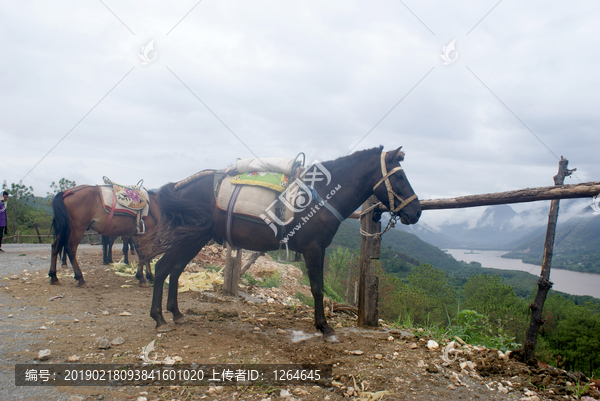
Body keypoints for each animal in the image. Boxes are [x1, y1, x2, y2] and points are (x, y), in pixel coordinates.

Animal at [150, 145, 422, 340]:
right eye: (400, 177)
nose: (417, 212)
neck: (320, 195)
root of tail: (179, 187)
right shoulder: (314, 249)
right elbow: (317, 289)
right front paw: (323, 326)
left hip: (196, 238)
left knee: (175, 270)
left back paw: (176, 313)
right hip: (190, 237)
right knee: (163, 268)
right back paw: (159, 318)